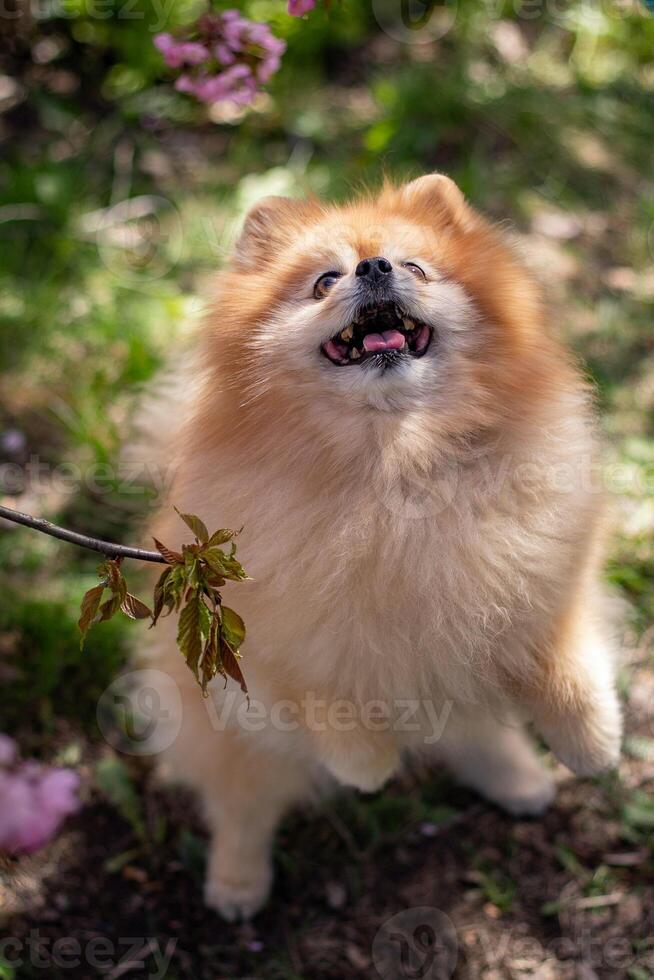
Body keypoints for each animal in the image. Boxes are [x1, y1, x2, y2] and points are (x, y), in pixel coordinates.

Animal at [140, 174, 624, 920]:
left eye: (416, 266)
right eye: (323, 280)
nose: (374, 268)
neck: (396, 471)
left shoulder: (546, 566)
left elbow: (567, 659)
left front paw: (595, 743)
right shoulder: (268, 633)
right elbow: (321, 695)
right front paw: (364, 763)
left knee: (472, 729)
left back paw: (517, 778)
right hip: (233, 742)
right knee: (243, 807)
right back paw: (237, 884)